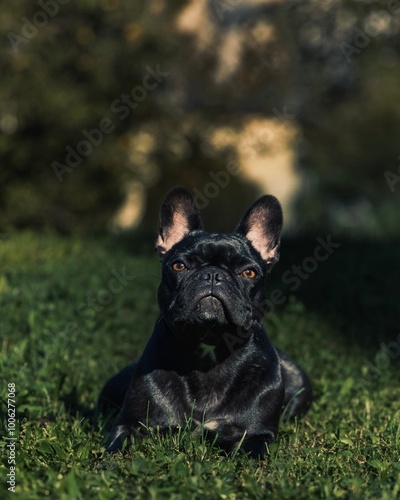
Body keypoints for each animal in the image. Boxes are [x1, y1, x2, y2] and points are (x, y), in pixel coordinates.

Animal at [98, 187, 310, 458]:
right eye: (179, 265)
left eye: (248, 272)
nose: (212, 274)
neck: (209, 347)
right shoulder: (130, 424)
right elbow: (117, 447)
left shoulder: (256, 434)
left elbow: (252, 454)